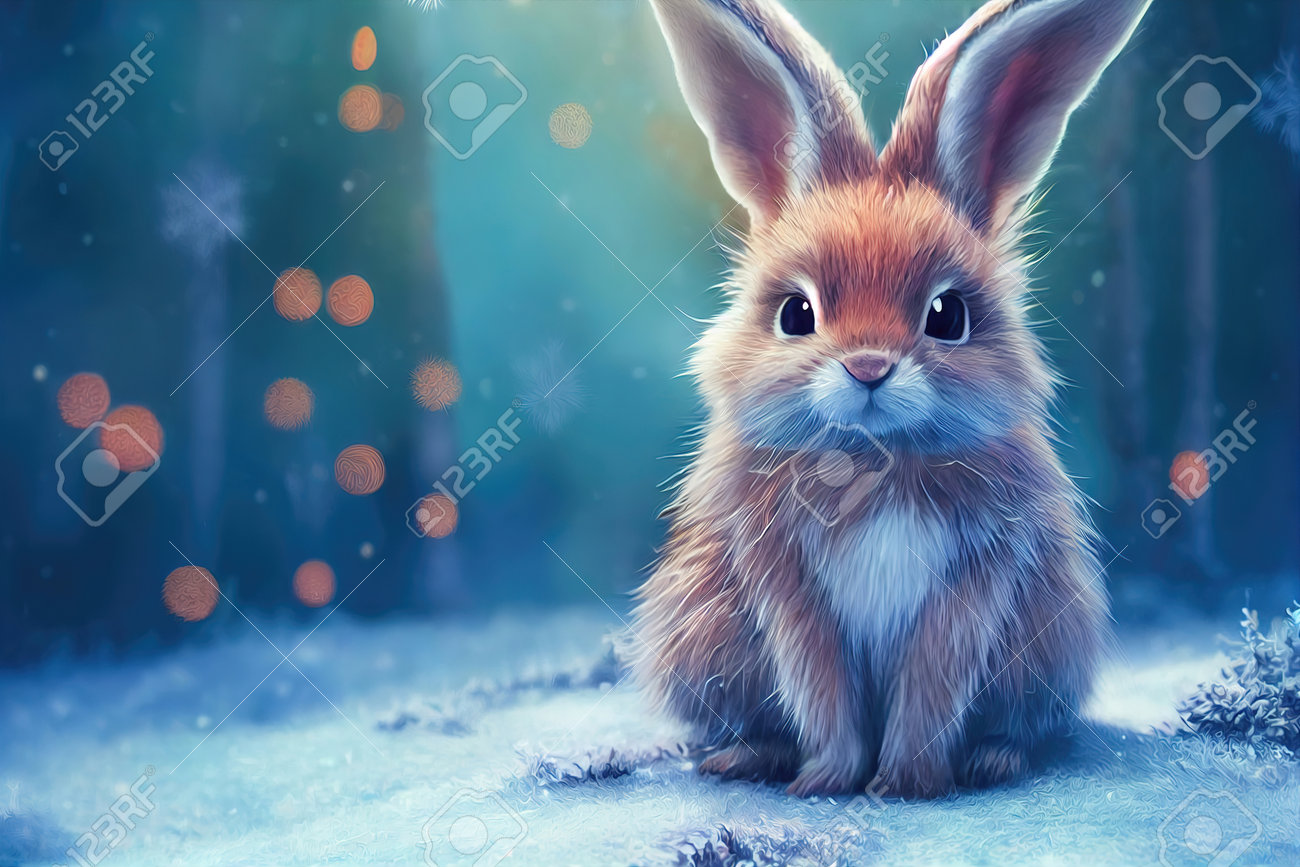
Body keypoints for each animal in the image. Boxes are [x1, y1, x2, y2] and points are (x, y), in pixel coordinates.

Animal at [629, 0, 1150, 799]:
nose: (870, 366)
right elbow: (818, 681)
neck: (873, 460)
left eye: (947, 315)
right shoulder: (781, 576)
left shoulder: (978, 576)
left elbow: (932, 682)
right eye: (797, 314)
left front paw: (907, 782)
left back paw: (993, 759)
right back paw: (747, 755)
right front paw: (829, 780)